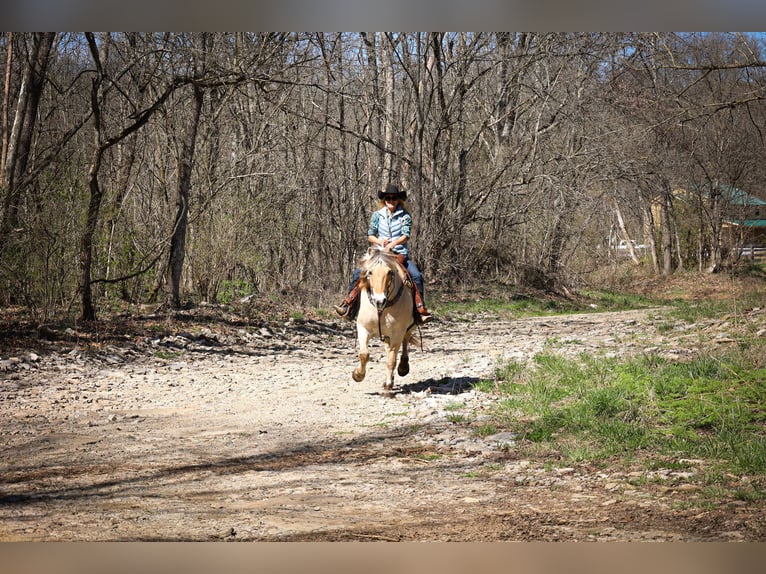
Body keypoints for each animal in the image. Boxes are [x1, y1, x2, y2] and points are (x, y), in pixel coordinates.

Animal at [354, 248, 420, 396]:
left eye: (390, 272)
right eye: (370, 272)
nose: (380, 300)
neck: (382, 310)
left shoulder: (397, 333)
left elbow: (391, 360)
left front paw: (388, 387)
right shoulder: (363, 328)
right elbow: (364, 354)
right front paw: (358, 375)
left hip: (408, 328)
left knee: (404, 343)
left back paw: (402, 368)